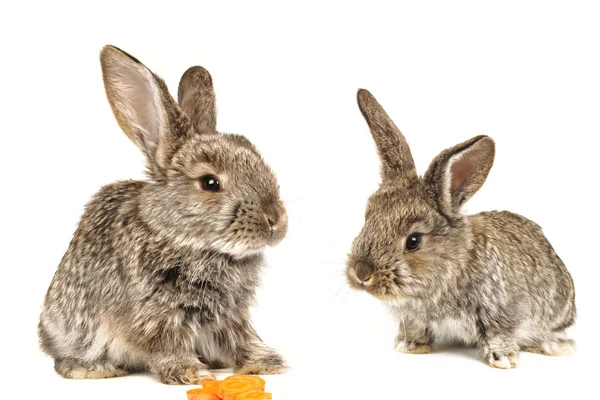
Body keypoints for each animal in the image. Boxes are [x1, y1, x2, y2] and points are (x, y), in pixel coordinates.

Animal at [38, 46, 290, 384]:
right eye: (210, 183)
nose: (275, 219)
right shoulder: (156, 316)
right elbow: (167, 345)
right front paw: (190, 372)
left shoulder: (231, 316)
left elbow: (241, 339)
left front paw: (266, 363)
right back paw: (93, 369)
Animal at [346, 88, 576, 368]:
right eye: (367, 218)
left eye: (413, 241)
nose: (361, 272)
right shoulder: (413, 318)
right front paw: (410, 346)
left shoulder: (501, 312)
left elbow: (499, 334)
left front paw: (503, 359)